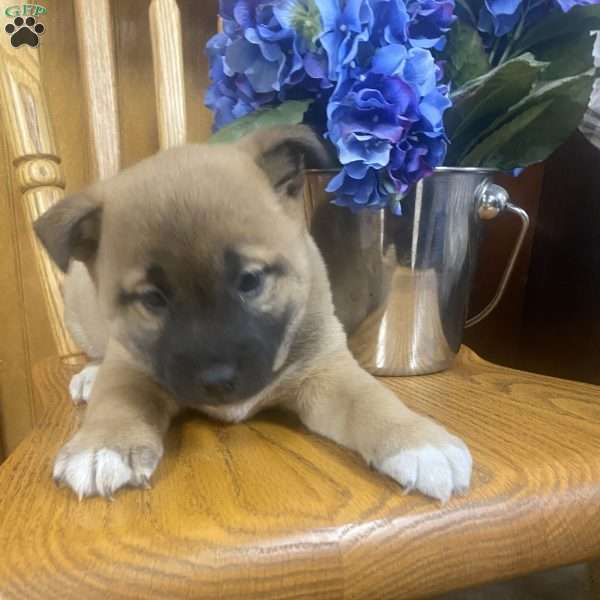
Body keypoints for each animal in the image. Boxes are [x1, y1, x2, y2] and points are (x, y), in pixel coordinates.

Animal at [35, 125, 472, 502]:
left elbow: (373, 401)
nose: (216, 381)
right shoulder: (130, 366)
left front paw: (419, 441)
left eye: (250, 280)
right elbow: (117, 401)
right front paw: (101, 446)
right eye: (153, 299)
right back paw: (89, 376)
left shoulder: (327, 370)